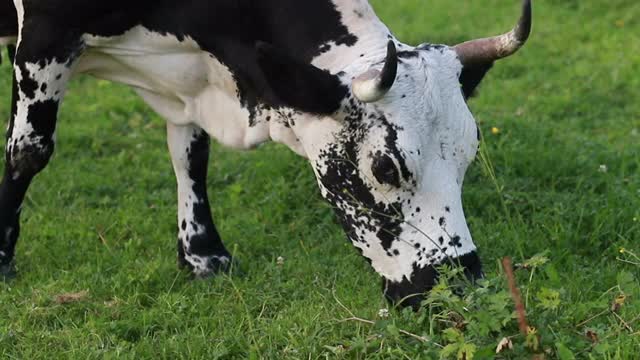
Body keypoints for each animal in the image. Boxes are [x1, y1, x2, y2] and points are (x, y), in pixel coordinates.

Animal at [0, 0, 528, 310]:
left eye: (467, 157)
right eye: (385, 167)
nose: (458, 287)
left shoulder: (189, 83)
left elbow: (190, 154)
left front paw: (202, 254)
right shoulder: (44, 33)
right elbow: (28, 150)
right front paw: (2, 260)